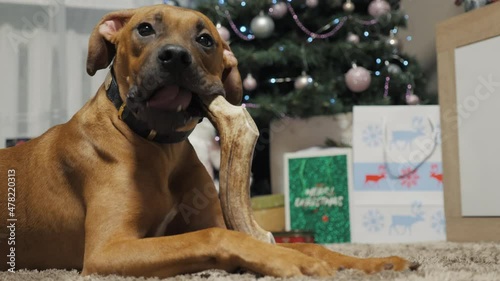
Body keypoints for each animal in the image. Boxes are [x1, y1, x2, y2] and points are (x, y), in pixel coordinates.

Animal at [0, 4, 418, 278]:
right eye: (144, 29)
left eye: (205, 39)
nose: (175, 57)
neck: (159, 146)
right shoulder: (107, 250)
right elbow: (216, 236)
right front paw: (293, 263)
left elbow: (302, 242)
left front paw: (376, 263)